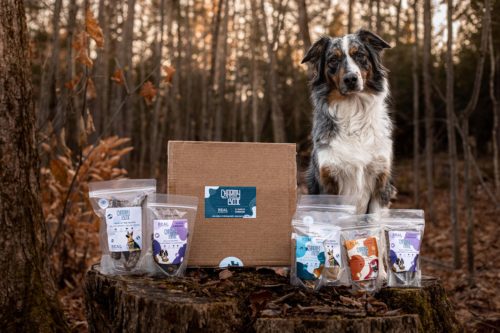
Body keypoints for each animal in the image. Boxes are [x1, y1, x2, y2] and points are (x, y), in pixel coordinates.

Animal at [302, 29, 396, 213]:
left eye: (359, 55)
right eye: (333, 60)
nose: (351, 79)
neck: (353, 110)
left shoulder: (381, 181)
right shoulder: (327, 183)